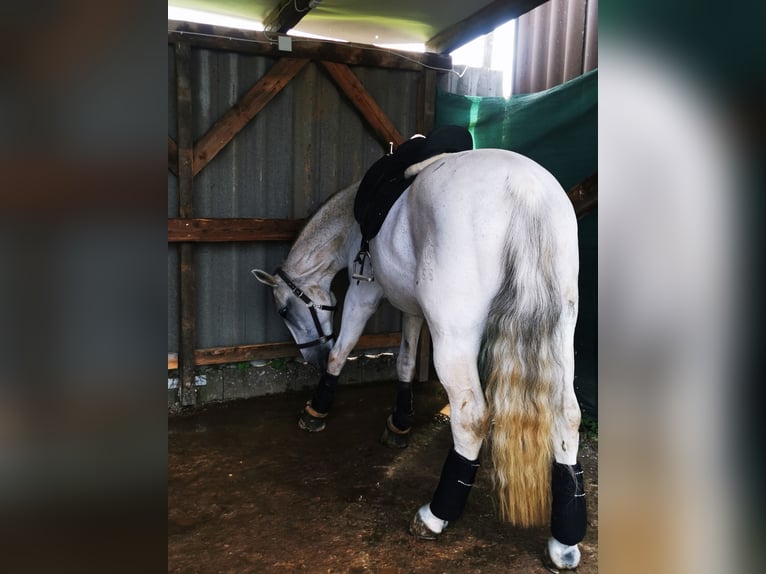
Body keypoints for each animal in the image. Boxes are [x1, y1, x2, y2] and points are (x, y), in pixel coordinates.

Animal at [255, 148, 584, 572]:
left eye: (283, 309)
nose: (312, 355)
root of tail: (524, 191)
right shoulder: (412, 309)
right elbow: (407, 362)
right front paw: (400, 422)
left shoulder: (365, 291)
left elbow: (343, 350)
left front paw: (316, 409)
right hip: (559, 332)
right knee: (568, 416)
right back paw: (564, 542)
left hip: (455, 337)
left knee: (472, 418)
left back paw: (436, 515)